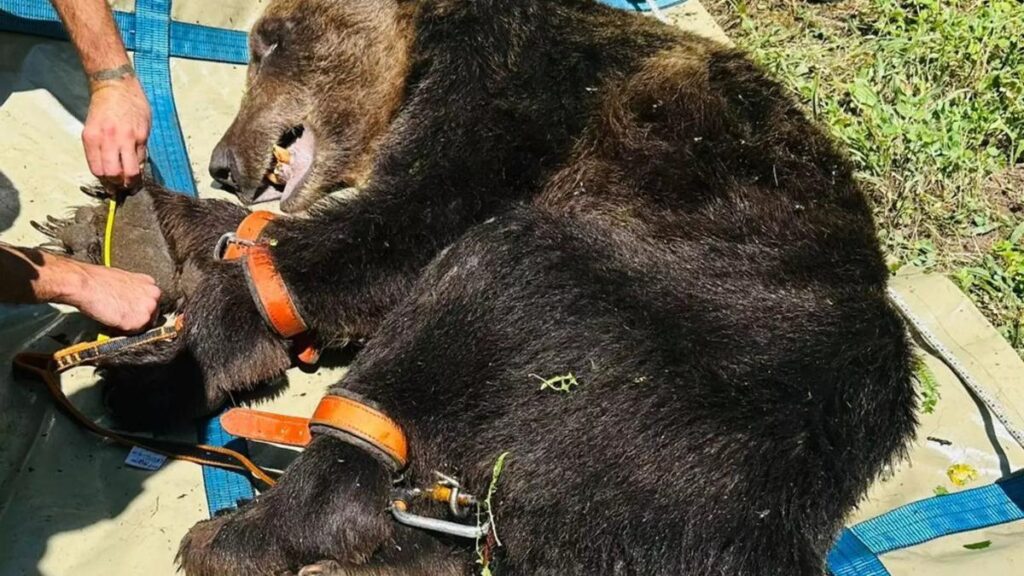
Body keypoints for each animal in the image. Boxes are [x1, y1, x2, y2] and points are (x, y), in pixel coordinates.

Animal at [37, 0, 917, 574]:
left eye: (268, 41)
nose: (222, 160)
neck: (424, 45)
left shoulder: (524, 85)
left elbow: (417, 217)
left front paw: (169, 353)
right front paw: (126, 225)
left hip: (687, 356)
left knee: (488, 284)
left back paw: (239, 532)